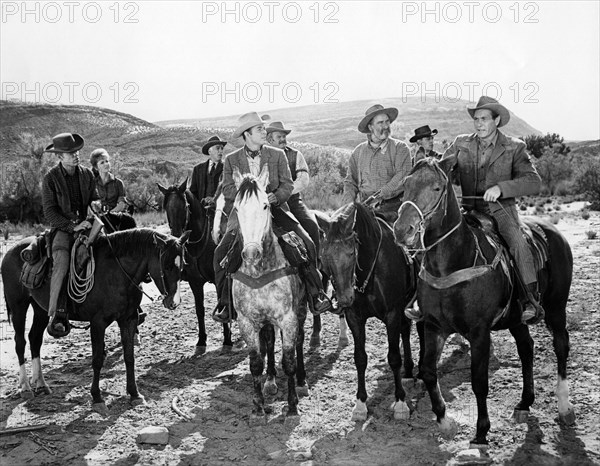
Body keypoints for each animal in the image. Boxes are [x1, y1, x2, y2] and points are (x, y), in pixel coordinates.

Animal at [1, 228, 189, 414]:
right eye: (167, 265)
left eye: (182, 266)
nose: (173, 302)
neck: (117, 272)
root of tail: (11, 251)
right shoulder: (98, 323)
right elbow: (97, 360)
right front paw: (97, 398)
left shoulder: (128, 319)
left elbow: (129, 356)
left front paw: (135, 394)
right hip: (18, 306)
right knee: (20, 342)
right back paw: (25, 387)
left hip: (40, 309)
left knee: (34, 339)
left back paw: (41, 384)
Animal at [157, 179, 232, 354]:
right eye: (166, 208)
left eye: (185, 206)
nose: (177, 236)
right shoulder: (195, 282)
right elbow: (199, 310)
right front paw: (201, 340)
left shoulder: (218, 280)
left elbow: (221, 303)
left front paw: (227, 339)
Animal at [231, 167, 312, 418]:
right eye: (236, 208)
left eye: (266, 205)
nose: (251, 253)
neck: (260, 271)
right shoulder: (247, 322)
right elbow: (256, 362)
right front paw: (258, 406)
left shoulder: (288, 319)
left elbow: (289, 361)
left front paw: (293, 405)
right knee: (269, 340)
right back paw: (270, 380)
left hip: (301, 309)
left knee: (298, 342)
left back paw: (302, 381)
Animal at [318, 202, 422, 420]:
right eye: (325, 256)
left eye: (351, 252)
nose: (345, 298)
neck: (370, 270)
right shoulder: (354, 318)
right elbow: (360, 358)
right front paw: (360, 404)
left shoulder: (392, 314)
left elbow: (394, 357)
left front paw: (400, 402)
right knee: (406, 331)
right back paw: (408, 372)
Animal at [392, 157, 576, 448]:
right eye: (405, 185)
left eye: (436, 187)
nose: (402, 230)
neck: (454, 263)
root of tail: (554, 232)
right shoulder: (434, 327)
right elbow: (428, 371)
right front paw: (445, 422)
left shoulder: (479, 332)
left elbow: (479, 381)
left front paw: (481, 431)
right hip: (516, 319)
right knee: (527, 348)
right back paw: (524, 403)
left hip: (556, 308)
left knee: (561, 346)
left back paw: (565, 406)